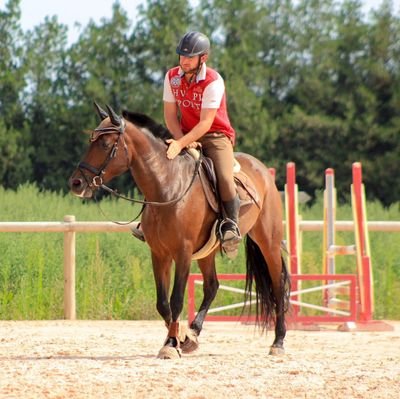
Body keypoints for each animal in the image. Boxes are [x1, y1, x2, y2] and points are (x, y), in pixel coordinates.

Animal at [67, 104, 290, 360]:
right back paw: (194, 332)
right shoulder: (159, 254)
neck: (167, 187)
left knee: (277, 285)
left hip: (268, 242)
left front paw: (172, 344)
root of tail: (262, 169)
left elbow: (176, 300)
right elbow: (162, 304)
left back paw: (278, 342)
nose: (76, 183)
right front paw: (181, 338)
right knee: (212, 286)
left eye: (104, 144)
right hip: (207, 252)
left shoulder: (182, 252)